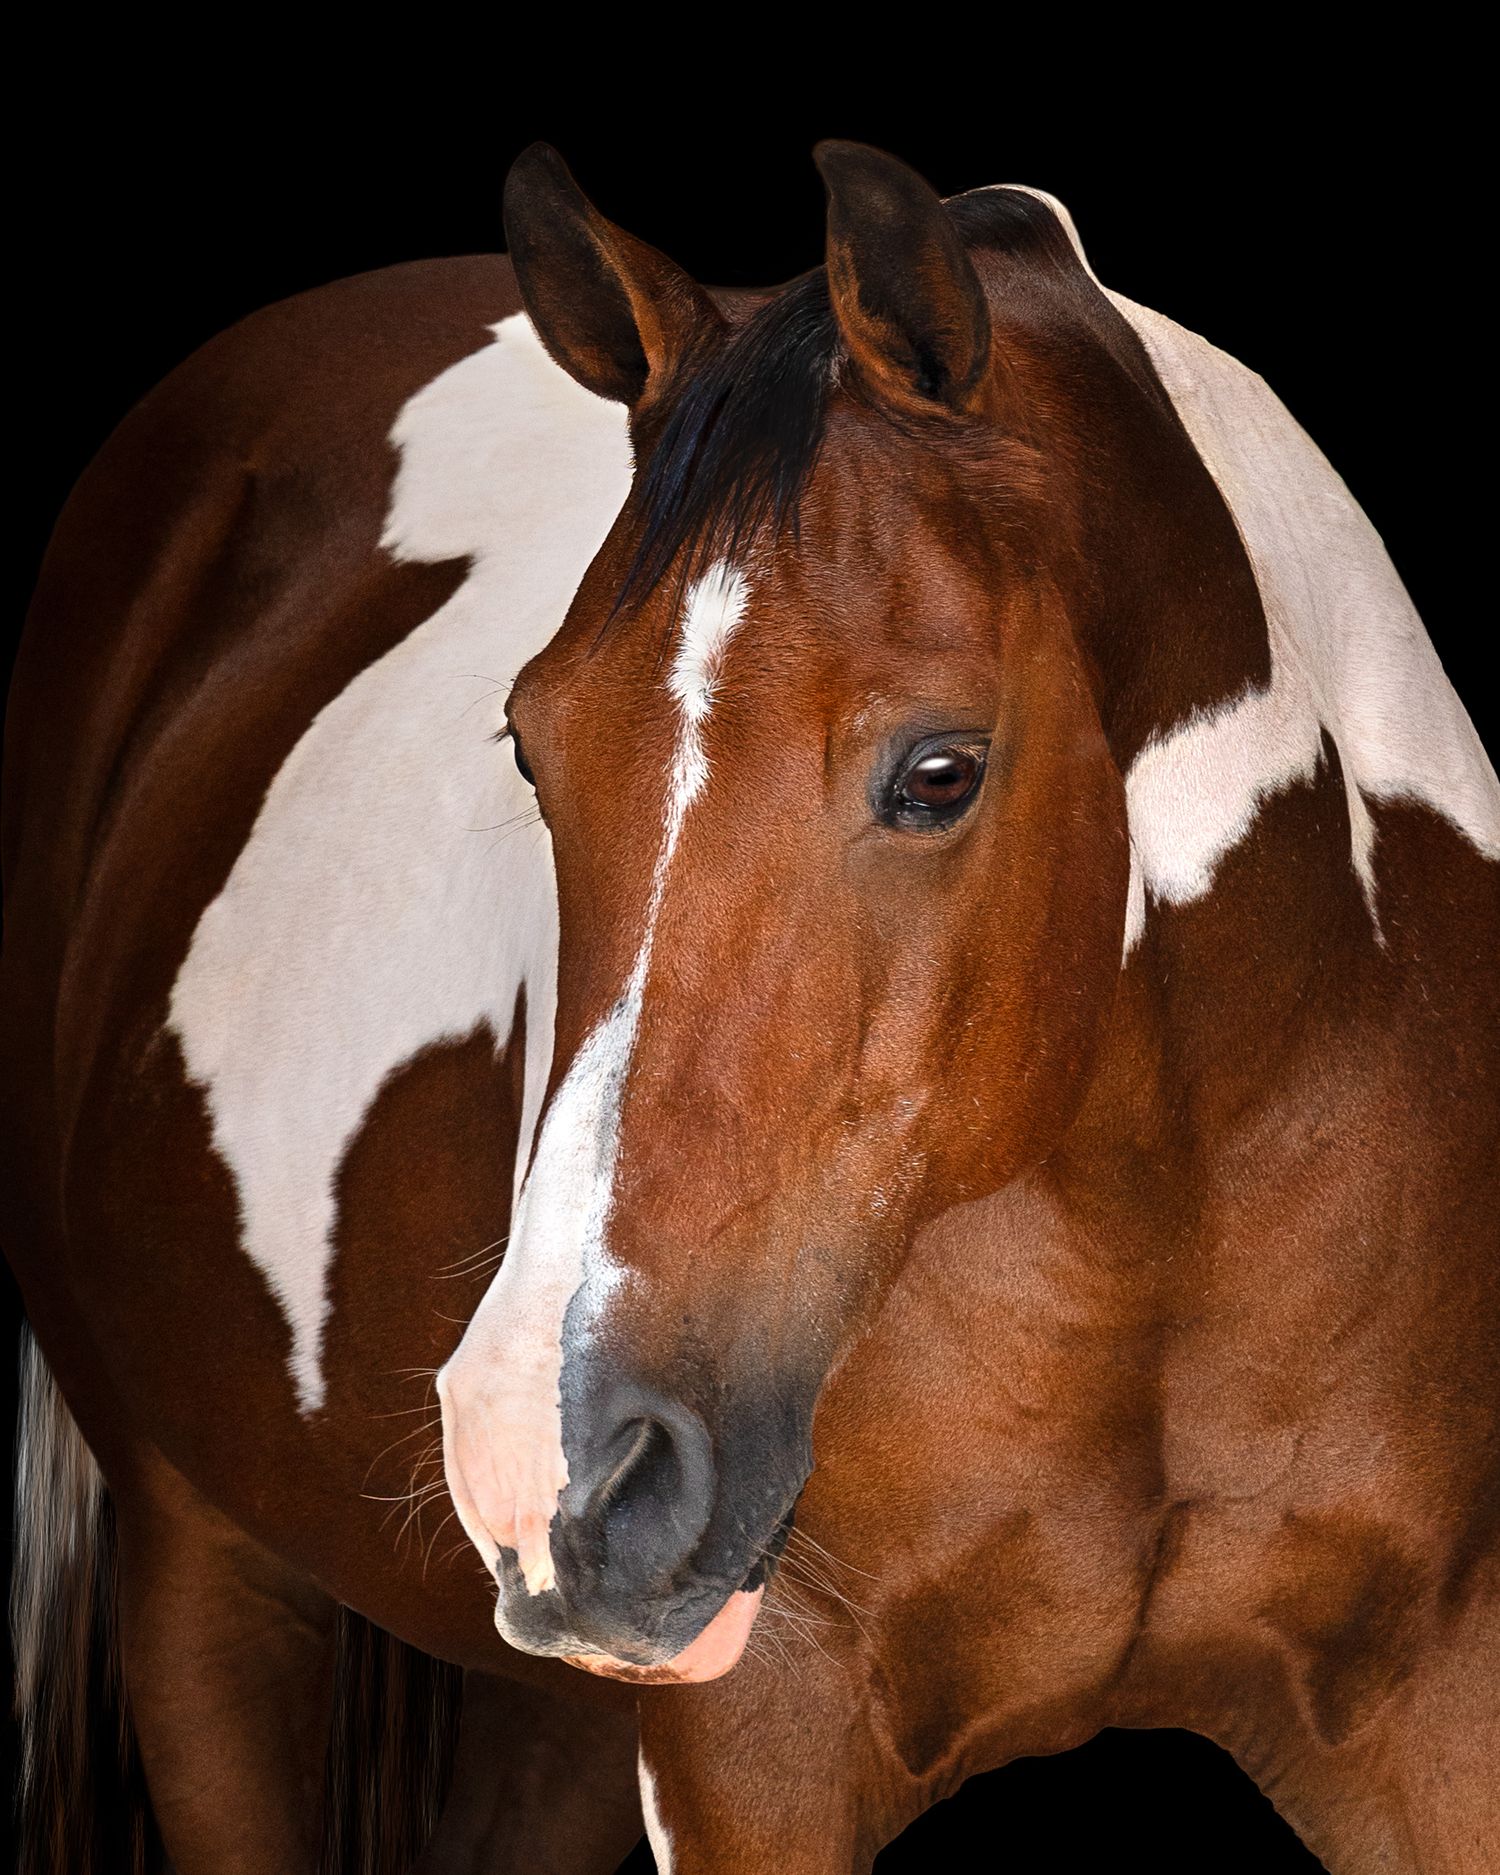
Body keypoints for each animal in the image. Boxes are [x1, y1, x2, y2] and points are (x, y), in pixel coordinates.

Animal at [6, 137, 1498, 1874]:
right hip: (207, 1583)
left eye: (941, 769)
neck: (1160, 1211)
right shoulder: (754, 1747)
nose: (546, 1455)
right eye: (531, 743)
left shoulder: (1438, 1700)